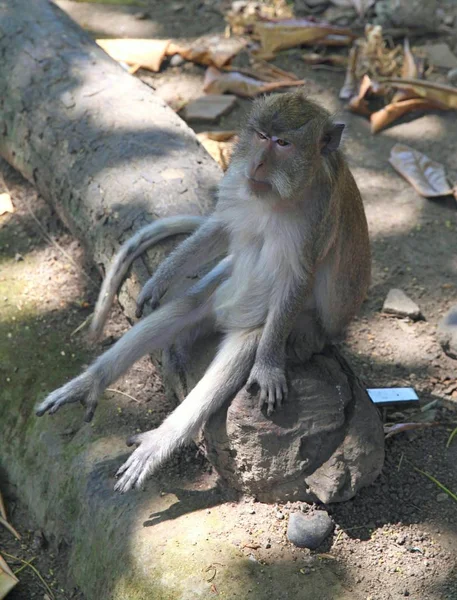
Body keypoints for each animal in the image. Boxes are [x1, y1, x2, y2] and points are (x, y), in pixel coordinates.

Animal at [35, 89, 370, 492]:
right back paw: (90, 383)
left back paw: (160, 440)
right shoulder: (239, 189)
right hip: (223, 290)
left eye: (283, 144)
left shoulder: (316, 221)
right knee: (184, 308)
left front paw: (268, 366)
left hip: (305, 333)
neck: (284, 196)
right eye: (261, 136)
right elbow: (222, 228)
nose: (257, 164)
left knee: (248, 341)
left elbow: (297, 280)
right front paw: (161, 277)